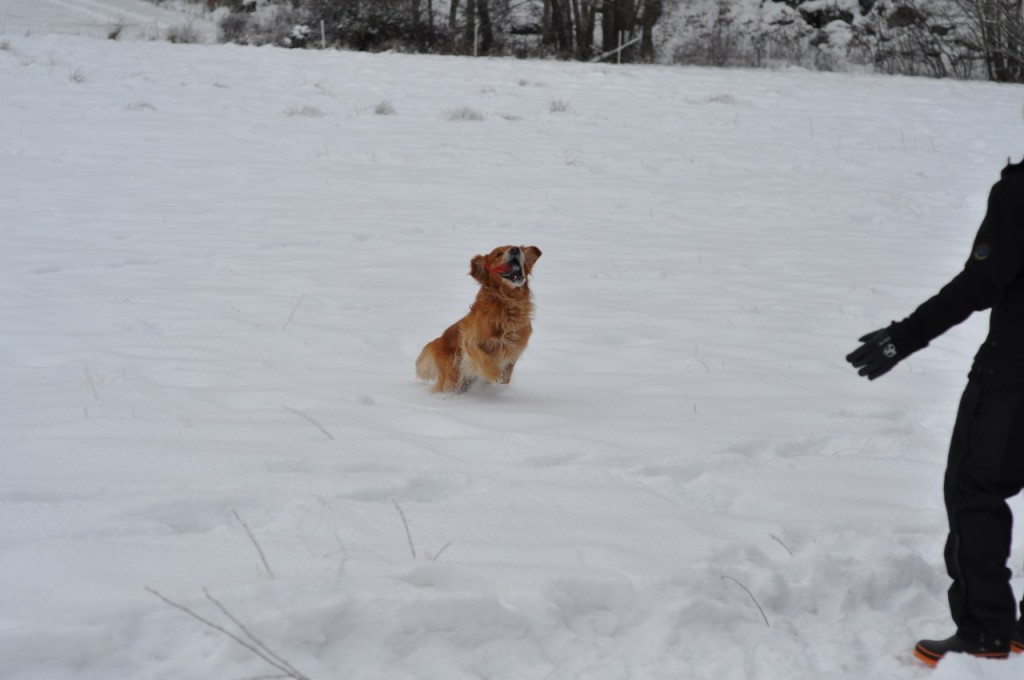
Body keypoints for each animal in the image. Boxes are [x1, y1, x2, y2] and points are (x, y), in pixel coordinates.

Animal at [415, 244, 544, 393]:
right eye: (498, 254)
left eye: (518, 248)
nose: (515, 249)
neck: (508, 304)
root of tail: (438, 341)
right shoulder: (470, 340)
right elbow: (484, 358)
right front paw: (495, 374)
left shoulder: (515, 349)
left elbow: (507, 375)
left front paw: (501, 380)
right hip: (452, 377)